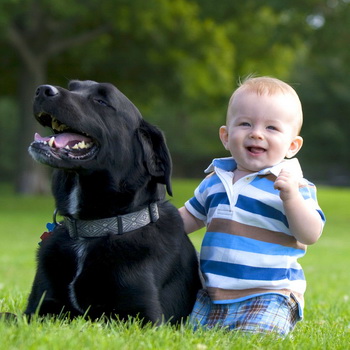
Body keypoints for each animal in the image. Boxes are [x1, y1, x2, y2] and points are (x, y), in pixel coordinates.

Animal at [26, 80, 201, 322]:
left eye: (101, 101)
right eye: (73, 86)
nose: (42, 90)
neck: (92, 229)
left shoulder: (142, 317)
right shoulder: (38, 309)